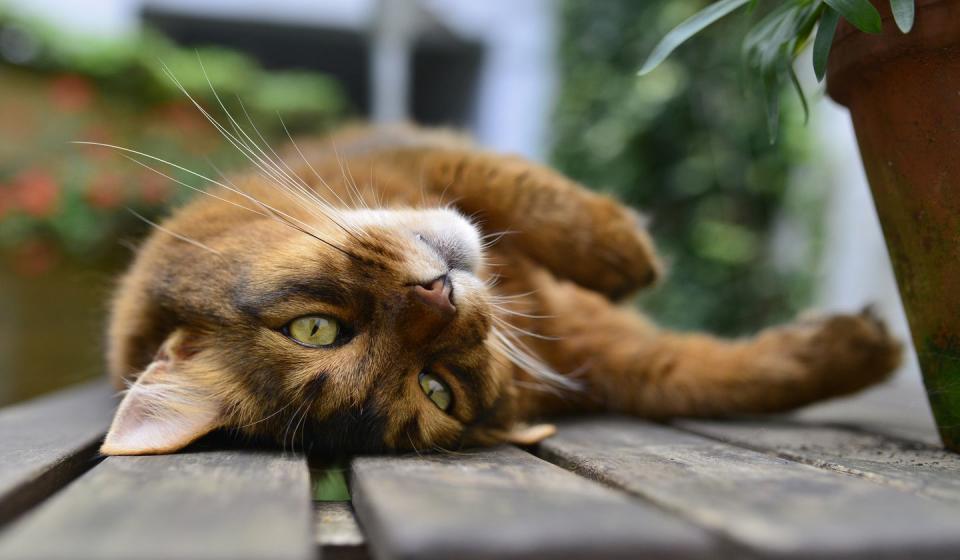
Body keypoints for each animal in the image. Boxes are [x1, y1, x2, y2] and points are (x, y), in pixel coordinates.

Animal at [101, 122, 904, 456]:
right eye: (436, 389)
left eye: (314, 328)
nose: (439, 296)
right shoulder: (604, 360)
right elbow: (701, 380)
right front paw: (867, 352)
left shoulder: (412, 151)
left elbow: (509, 184)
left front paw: (623, 253)